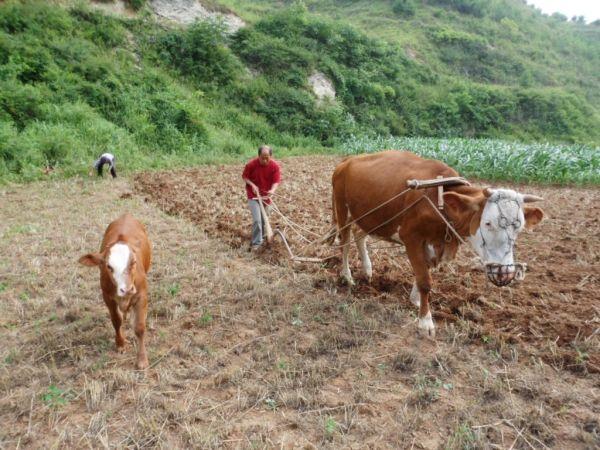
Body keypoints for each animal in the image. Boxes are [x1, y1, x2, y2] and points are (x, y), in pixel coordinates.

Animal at [78, 214, 154, 370]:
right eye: (108, 266)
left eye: (133, 262)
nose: (127, 289)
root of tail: (126, 215)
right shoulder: (107, 297)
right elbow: (116, 320)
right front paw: (120, 344)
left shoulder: (142, 295)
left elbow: (139, 327)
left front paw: (142, 360)